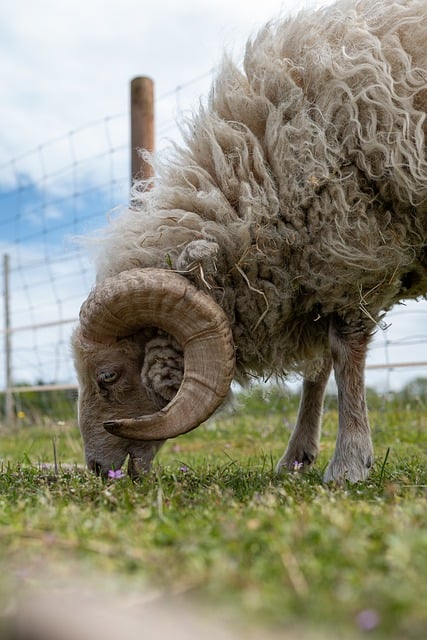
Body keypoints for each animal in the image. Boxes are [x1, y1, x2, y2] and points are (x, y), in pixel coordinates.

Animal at [72, 0, 427, 480]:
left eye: (107, 376)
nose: (95, 468)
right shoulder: (320, 268)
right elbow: (317, 368)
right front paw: (297, 456)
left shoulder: (353, 253)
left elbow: (344, 356)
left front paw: (349, 462)